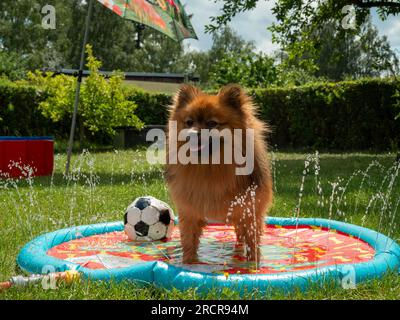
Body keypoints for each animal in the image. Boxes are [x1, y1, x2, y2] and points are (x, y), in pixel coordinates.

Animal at [165, 84, 272, 264]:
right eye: (189, 122)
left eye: (212, 123)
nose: (190, 134)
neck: (210, 167)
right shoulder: (189, 211)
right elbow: (189, 241)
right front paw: (189, 263)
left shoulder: (250, 211)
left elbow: (252, 242)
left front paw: (253, 265)